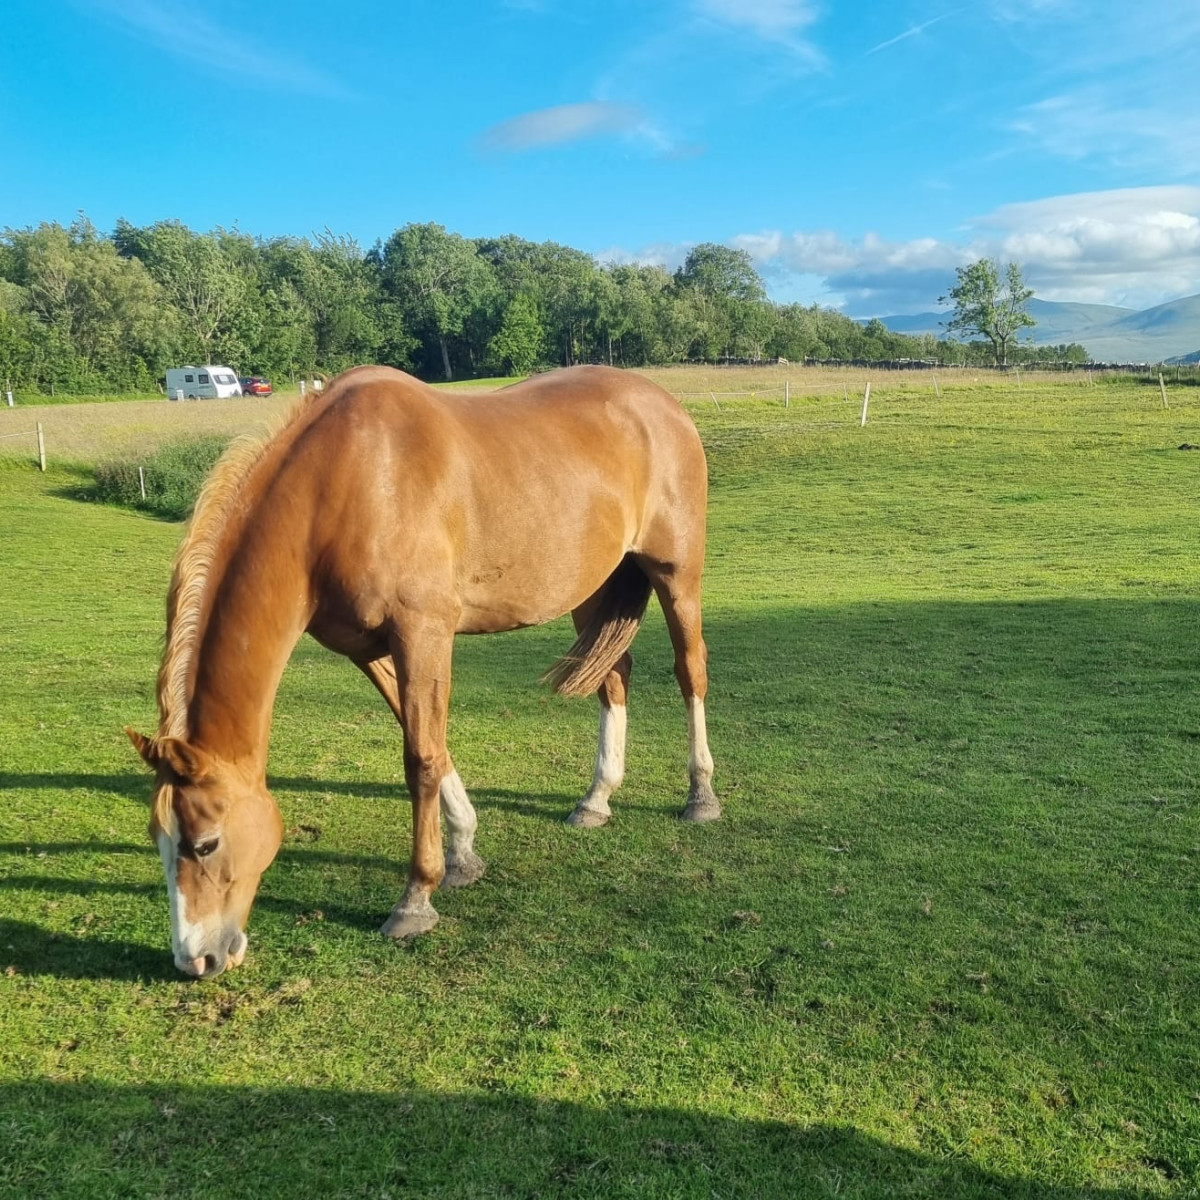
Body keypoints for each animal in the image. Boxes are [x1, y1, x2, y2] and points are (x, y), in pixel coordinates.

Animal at [126, 364, 720, 979]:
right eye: (158, 838)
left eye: (206, 843)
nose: (195, 959)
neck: (343, 485)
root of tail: (663, 403)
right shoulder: (369, 649)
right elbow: (429, 741)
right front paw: (462, 852)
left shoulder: (423, 632)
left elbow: (422, 760)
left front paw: (416, 898)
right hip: (595, 586)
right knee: (613, 676)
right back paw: (597, 798)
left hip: (677, 573)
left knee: (690, 670)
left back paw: (701, 794)